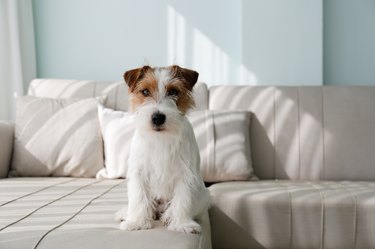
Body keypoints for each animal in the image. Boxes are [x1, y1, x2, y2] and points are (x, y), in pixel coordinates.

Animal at [116, 64, 210, 233]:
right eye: (145, 92)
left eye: (173, 92)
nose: (158, 118)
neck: (161, 139)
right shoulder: (139, 172)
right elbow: (139, 198)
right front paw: (136, 222)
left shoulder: (185, 174)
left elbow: (183, 200)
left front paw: (181, 224)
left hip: (205, 195)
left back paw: (168, 217)